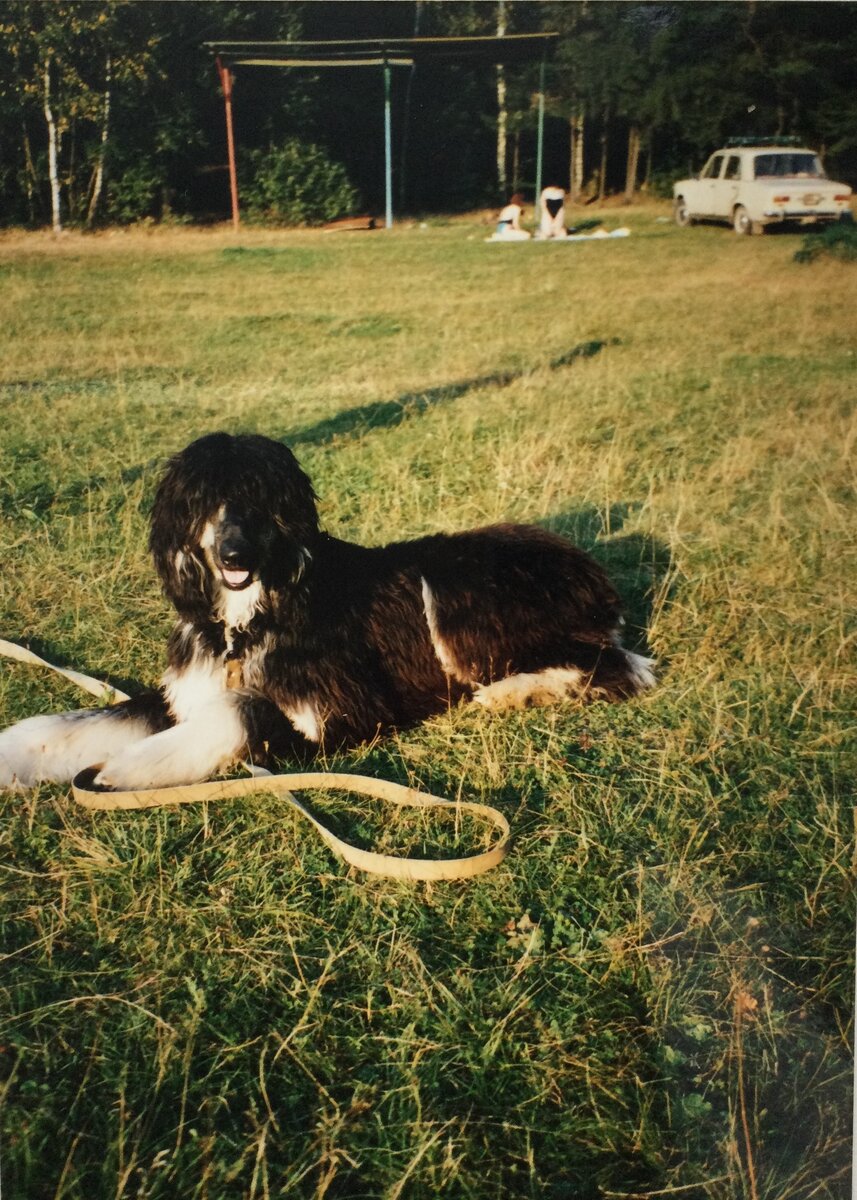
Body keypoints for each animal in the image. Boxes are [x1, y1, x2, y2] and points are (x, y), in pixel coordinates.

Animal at [1, 432, 652, 787]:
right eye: (204, 500)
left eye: (262, 500)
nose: (234, 554)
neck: (250, 617)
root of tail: (590, 570)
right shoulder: (187, 690)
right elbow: (88, 721)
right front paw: (15, 754)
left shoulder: (341, 711)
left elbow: (239, 712)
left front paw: (121, 771)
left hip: (455, 590)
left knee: (623, 666)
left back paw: (513, 692)